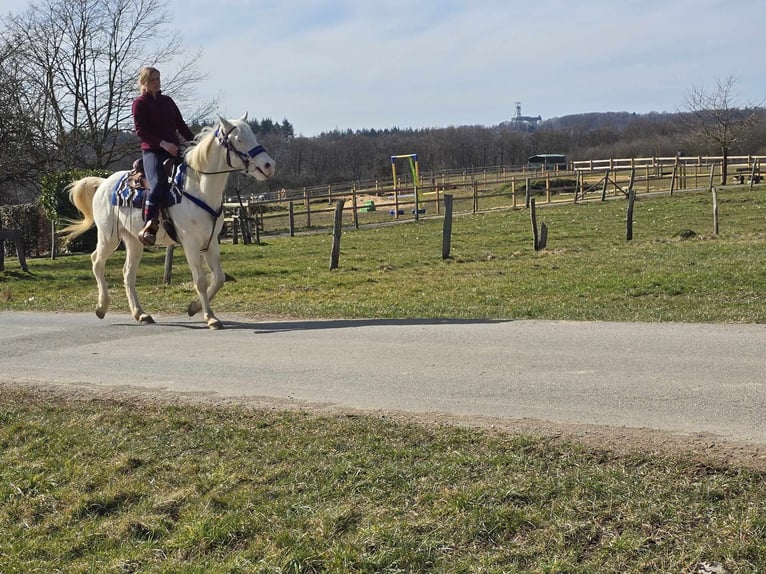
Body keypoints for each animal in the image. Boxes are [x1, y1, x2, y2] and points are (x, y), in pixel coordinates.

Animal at [60, 115, 276, 330]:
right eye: (239, 139)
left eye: (253, 135)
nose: (269, 165)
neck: (199, 188)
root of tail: (104, 183)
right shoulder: (190, 243)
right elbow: (201, 281)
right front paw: (210, 317)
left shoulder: (211, 241)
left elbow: (219, 278)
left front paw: (194, 307)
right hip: (108, 237)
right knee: (97, 261)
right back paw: (102, 307)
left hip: (134, 241)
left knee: (128, 273)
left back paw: (140, 314)